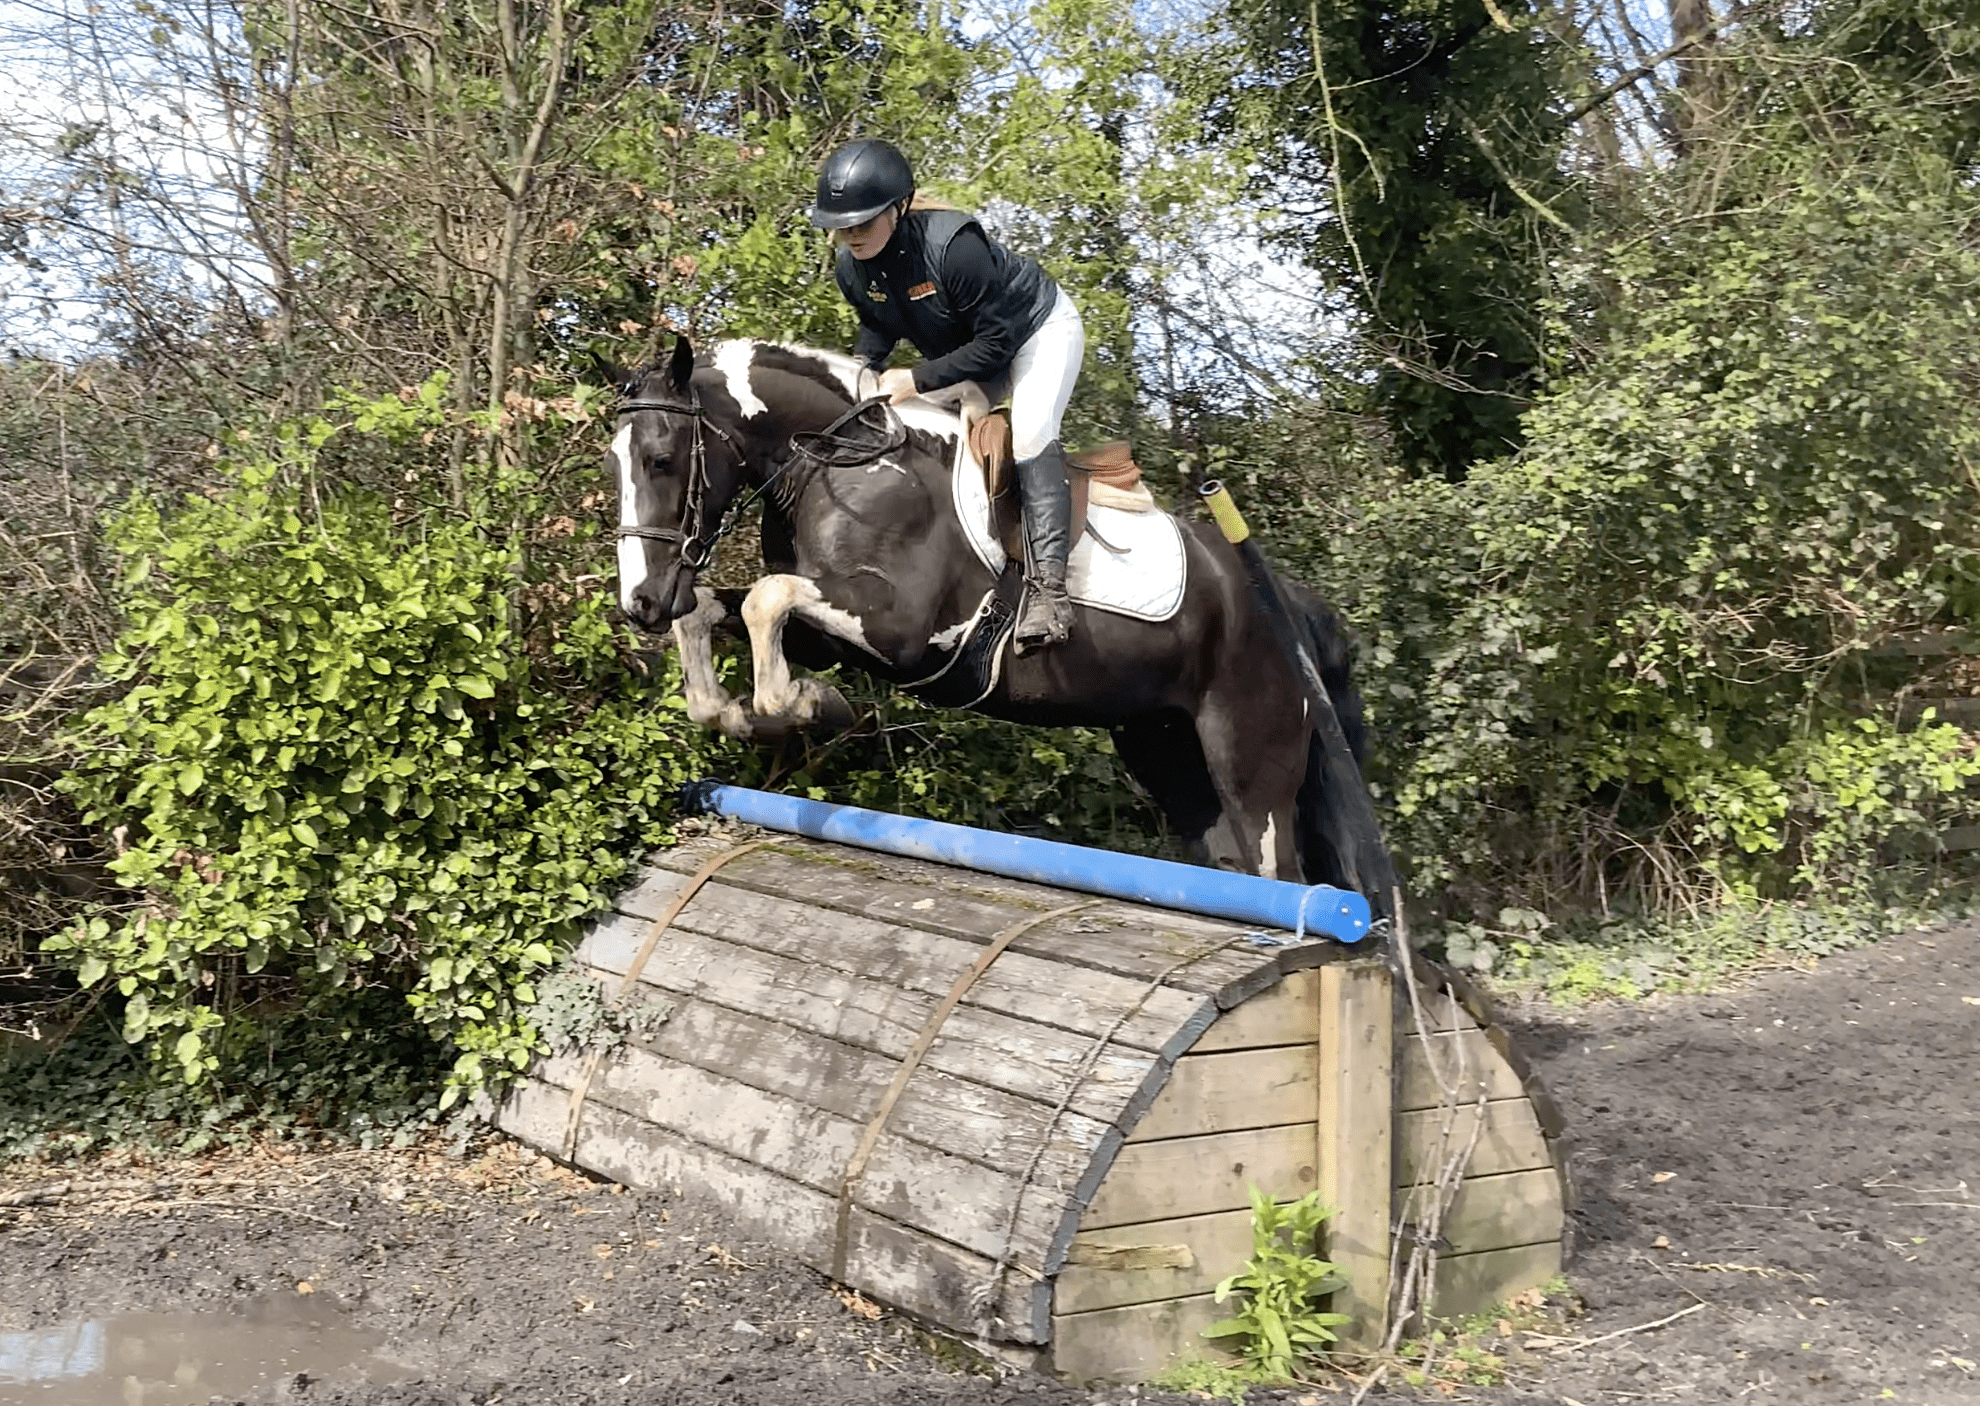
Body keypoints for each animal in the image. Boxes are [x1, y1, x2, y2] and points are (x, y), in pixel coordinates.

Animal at [608, 334, 1377, 888]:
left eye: (661, 459)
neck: (845, 461)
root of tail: (1289, 607)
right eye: (614, 464)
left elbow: (767, 601)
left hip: (1250, 762)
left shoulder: (901, 630)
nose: (640, 603)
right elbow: (718, 613)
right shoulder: (837, 630)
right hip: (1168, 752)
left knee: (1284, 872)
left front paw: (806, 704)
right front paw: (737, 710)